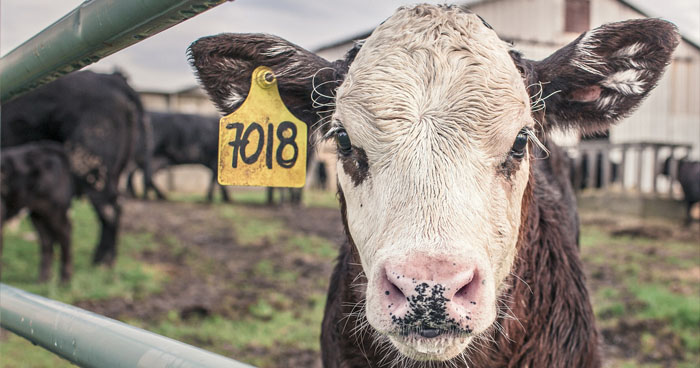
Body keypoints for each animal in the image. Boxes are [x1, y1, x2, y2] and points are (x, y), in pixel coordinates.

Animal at [0, 142, 74, 282]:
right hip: (38, 213)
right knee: (46, 240)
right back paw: (43, 279)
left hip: (55, 209)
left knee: (65, 235)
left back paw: (64, 280)